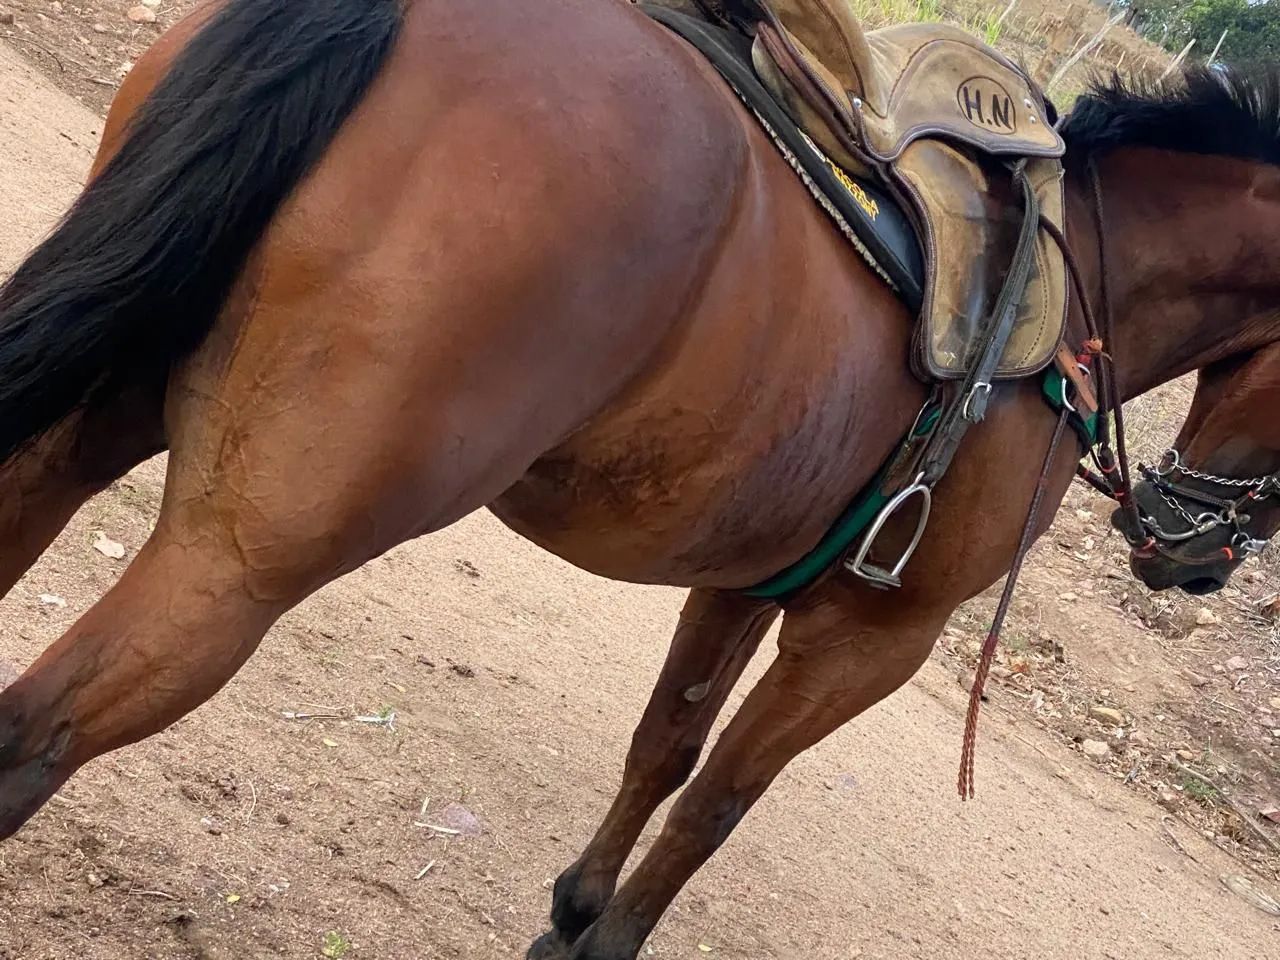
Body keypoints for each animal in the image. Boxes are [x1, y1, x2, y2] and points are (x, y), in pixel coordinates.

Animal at [0, 1, 1277, 957]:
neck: (1085, 283)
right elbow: (717, 799)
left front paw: (570, 913)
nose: (1198, 550)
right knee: (32, 738)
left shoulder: (748, 577)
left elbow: (664, 743)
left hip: (100, 407)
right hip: (244, 562)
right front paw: (605, 937)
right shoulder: (870, 636)